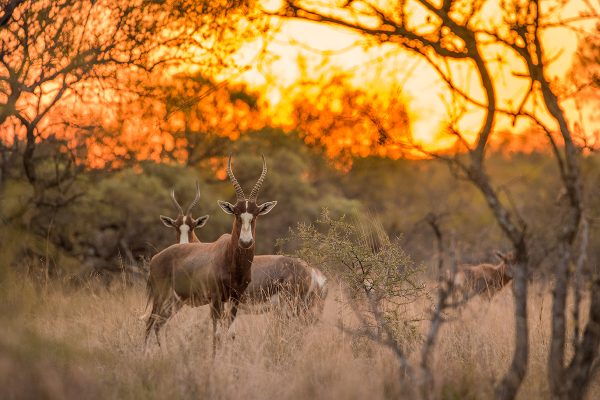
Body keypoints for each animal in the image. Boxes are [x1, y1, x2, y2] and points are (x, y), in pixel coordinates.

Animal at [144, 156, 278, 354]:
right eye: (236, 213)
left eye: (255, 215)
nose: (245, 242)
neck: (230, 259)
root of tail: (155, 259)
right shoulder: (215, 300)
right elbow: (217, 334)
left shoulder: (235, 298)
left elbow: (229, 334)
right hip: (161, 296)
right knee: (150, 322)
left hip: (176, 301)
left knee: (159, 324)